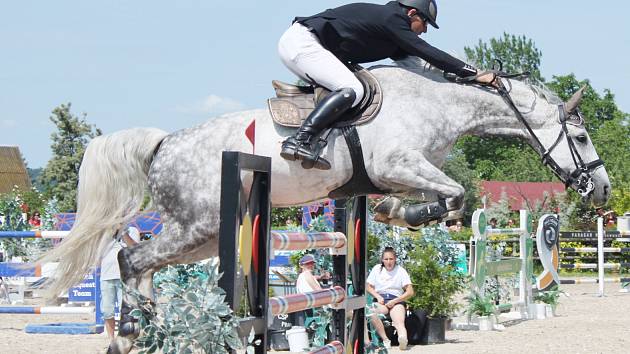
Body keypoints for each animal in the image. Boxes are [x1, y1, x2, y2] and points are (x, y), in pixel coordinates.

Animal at [38, 57, 612, 352]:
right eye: (582, 137)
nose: (603, 191)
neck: (438, 102)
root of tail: (162, 143)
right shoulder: (398, 164)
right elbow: (455, 195)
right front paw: (404, 214)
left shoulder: (403, 173)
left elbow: (442, 199)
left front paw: (394, 214)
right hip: (197, 224)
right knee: (131, 257)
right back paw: (133, 331)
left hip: (203, 235)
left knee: (144, 266)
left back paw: (151, 330)